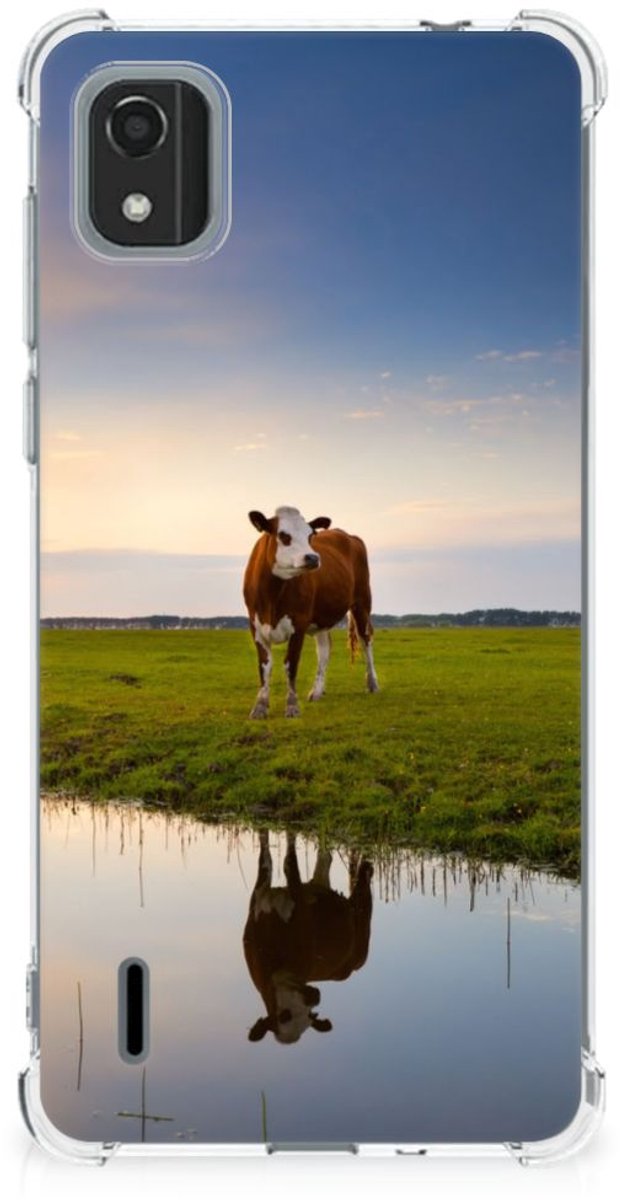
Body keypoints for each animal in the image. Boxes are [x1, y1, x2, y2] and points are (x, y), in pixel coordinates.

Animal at [243, 506, 379, 718]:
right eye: (283, 535)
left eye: (310, 535)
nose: (313, 558)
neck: (272, 596)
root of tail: (347, 535)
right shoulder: (255, 626)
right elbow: (264, 666)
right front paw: (260, 706)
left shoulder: (298, 624)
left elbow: (291, 664)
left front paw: (292, 706)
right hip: (322, 617)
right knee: (324, 649)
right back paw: (317, 691)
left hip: (362, 602)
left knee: (366, 640)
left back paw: (372, 683)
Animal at [243, 830, 373, 1044]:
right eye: (284, 1016)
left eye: (309, 1016)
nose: (315, 997)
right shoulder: (258, 897)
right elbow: (265, 858)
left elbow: (289, 863)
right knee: (325, 858)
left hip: (362, 923)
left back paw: (367, 866)